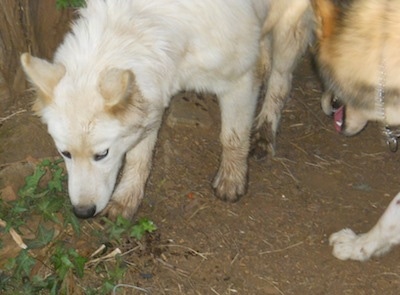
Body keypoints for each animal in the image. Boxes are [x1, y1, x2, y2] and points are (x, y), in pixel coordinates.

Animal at [19, 0, 312, 220]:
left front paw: (232, 179)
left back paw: (264, 132)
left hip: (289, 29)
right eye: (65, 153)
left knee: (280, 81)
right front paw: (127, 199)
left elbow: (233, 137)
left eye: (102, 154)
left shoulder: (237, 81)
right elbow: (138, 159)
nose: (82, 212)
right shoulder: (154, 95)